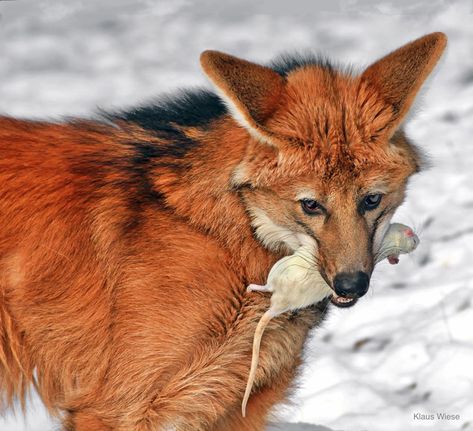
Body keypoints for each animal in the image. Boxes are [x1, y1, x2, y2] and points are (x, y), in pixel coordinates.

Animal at [0, 32, 446, 430]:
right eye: (310, 205)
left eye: (370, 200)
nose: (352, 284)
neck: (235, 238)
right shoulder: (114, 408)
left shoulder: (233, 406)